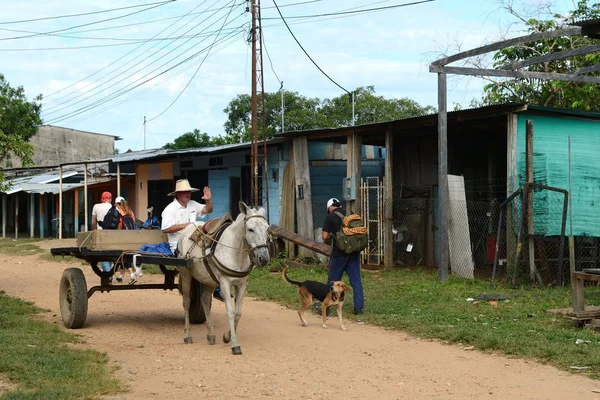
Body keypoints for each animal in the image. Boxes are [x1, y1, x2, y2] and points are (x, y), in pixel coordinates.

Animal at [176, 202, 270, 354]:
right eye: (251, 229)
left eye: (267, 228)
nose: (264, 258)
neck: (234, 251)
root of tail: (186, 229)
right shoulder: (225, 283)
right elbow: (230, 313)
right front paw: (235, 345)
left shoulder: (241, 284)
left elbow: (238, 313)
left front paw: (227, 336)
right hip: (186, 274)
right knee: (186, 302)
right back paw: (187, 336)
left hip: (209, 280)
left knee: (204, 300)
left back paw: (211, 335)